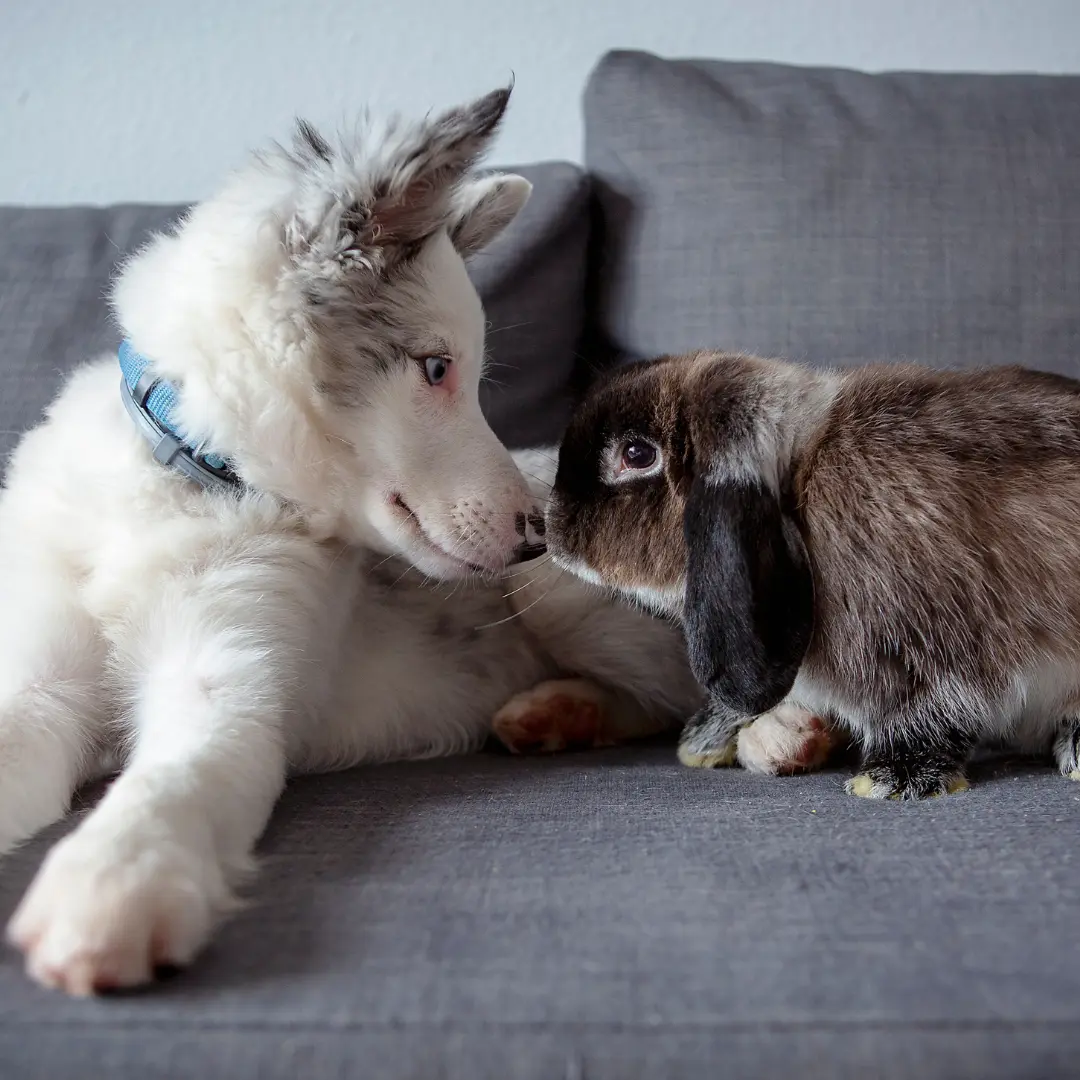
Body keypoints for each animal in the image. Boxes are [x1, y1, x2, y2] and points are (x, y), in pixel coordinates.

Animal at [548, 349, 1080, 799]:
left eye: (637, 454)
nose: (552, 531)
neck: (801, 480)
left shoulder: (939, 646)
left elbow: (938, 710)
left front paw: (890, 779)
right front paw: (708, 739)